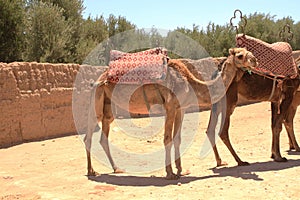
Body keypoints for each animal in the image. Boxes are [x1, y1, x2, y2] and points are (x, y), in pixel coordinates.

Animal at [84, 47, 258, 180]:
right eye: (240, 55)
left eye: (248, 50)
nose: (255, 60)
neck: (189, 82)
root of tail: (101, 77)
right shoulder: (170, 106)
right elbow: (167, 138)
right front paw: (170, 173)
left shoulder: (181, 108)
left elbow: (177, 138)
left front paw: (181, 169)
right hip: (97, 99)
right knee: (89, 134)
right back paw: (92, 171)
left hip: (109, 107)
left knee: (103, 136)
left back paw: (117, 168)